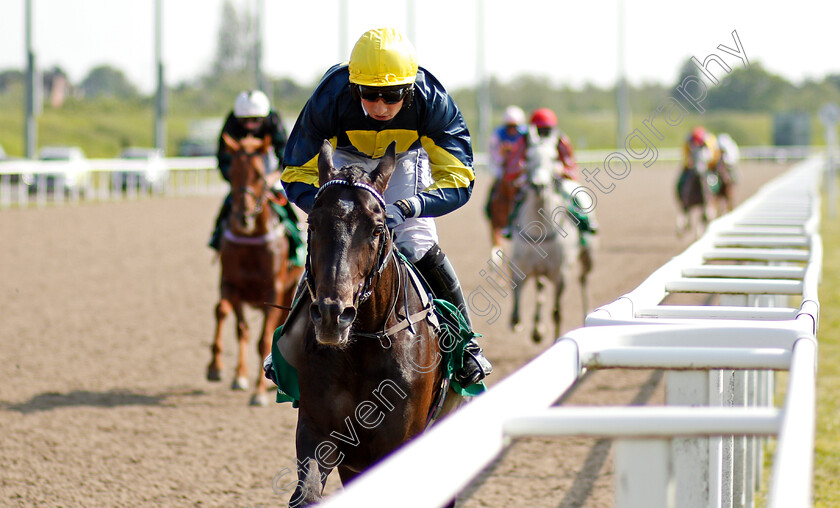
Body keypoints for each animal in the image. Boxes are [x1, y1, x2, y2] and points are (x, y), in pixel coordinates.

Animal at [208, 133, 304, 406]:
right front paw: (219, 369)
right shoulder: (231, 283)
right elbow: (230, 319)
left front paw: (259, 392)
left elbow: (263, 339)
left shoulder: (273, 289)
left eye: (260, 175)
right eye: (232, 172)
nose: (243, 217)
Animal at [274, 141, 460, 506]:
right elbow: (308, 492)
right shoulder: (320, 434)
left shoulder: (399, 445)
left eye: (376, 228)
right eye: (312, 225)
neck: (362, 348)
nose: (333, 315)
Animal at [508, 141, 588, 344]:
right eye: (528, 156)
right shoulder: (521, 265)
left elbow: (557, 313)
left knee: (583, 280)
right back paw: (537, 328)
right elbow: (516, 305)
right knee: (540, 288)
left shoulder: (561, 273)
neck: (540, 232)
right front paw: (519, 323)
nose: (539, 185)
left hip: (587, 257)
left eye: (553, 157)